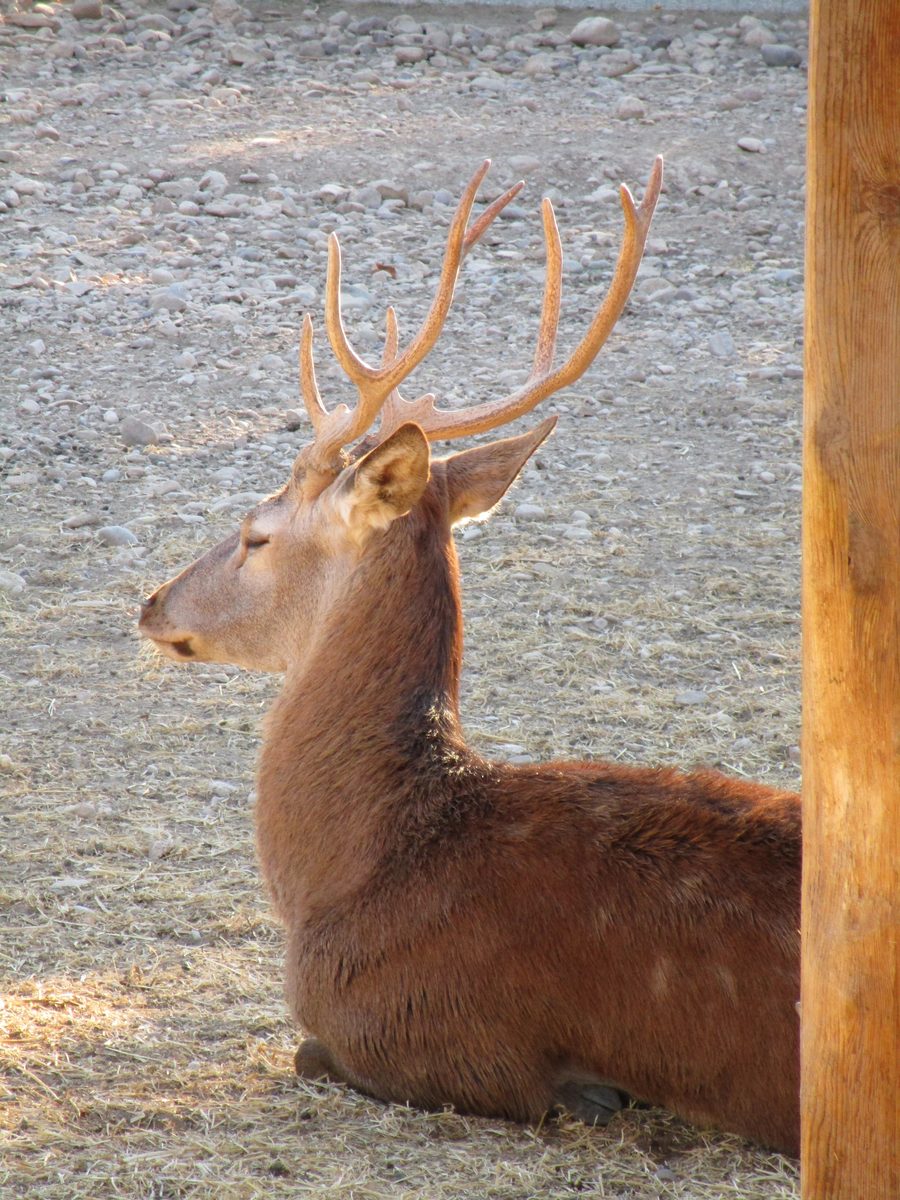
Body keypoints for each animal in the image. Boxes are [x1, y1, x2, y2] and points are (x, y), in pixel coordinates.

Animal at [138, 158, 801, 1156]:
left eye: (256, 535)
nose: (151, 602)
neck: (355, 873)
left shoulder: (434, 1032)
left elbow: (306, 1052)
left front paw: (601, 1096)